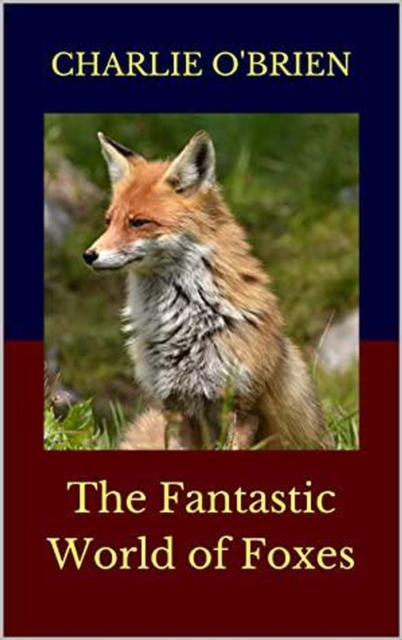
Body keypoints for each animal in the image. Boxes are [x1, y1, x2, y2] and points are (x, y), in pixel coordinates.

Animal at [83, 130, 332, 450]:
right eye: (108, 221)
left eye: (139, 222)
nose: (89, 255)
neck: (187, 323)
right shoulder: (175, 408)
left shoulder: (243, 406)